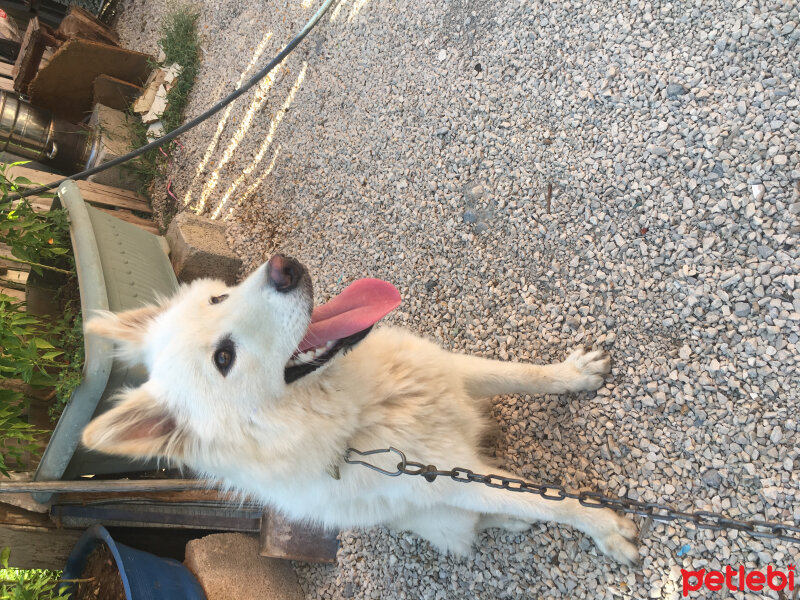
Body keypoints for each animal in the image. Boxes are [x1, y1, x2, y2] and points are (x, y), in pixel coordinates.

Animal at [81, 255, 640, 564]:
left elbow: (518, 374)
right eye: (224, 359)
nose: (284, 266)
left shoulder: (450, 372)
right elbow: (543, 500)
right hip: (439, 514)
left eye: (217, 298)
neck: (365, 407)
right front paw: (607, 528)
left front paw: (574, 375)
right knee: (476, 521)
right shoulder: (450, 478)